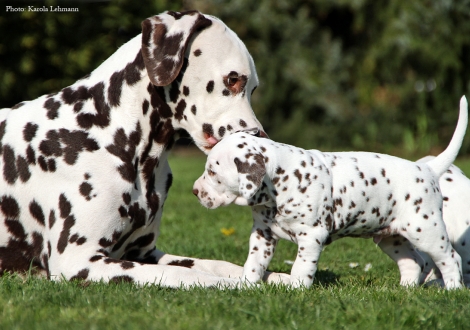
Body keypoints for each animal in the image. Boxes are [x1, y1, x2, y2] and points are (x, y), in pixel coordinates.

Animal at [0, 10, 288, 288]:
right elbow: (185, 275)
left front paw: (276, 277)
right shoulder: (78, 261)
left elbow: (218, 265)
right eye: (232, 79)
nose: (260, 136)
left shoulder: (145, 253)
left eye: (253, 89)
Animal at [193, 96, 468, 288]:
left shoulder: (311, 236)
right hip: (393, 239)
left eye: (213, 173)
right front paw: (246, 286)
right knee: (414, 263)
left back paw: (452, 289)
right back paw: (405, 290)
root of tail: (427, 168)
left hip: (427, 231)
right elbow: (253, 263)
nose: (195, 191)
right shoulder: (263, 234)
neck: (281, 184)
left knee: (450, 258)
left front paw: (295, 290)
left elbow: (301, 267)